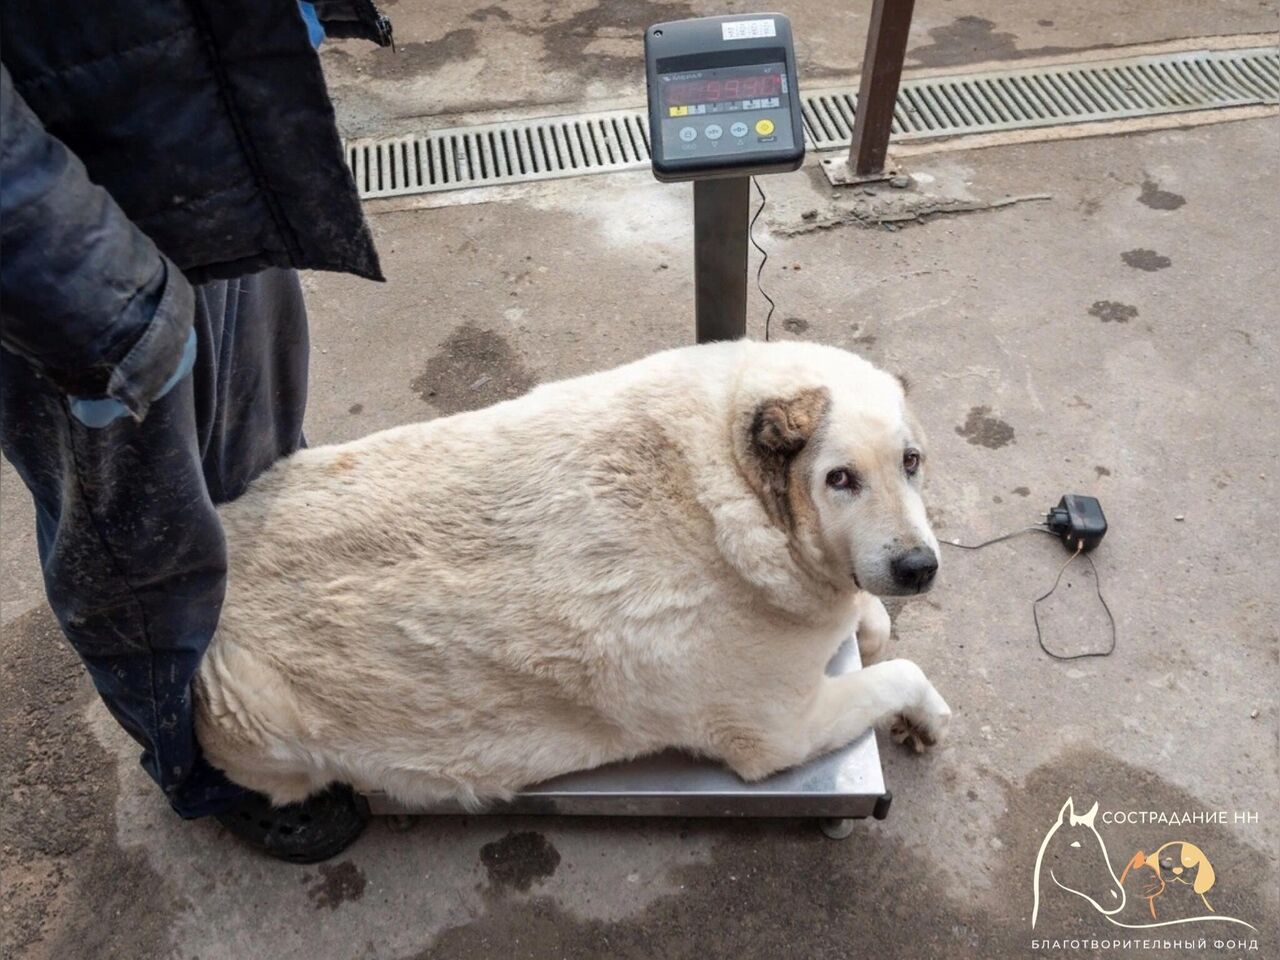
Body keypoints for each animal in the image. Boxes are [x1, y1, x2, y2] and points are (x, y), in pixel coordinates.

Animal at [192, 343, 952, 808]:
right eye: (839, 479)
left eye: (912, 461)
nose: (919, 567)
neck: (735, 494)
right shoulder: (776, 731)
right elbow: (901, 669)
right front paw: (928, 714)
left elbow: (873, 625)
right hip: (258, 717)